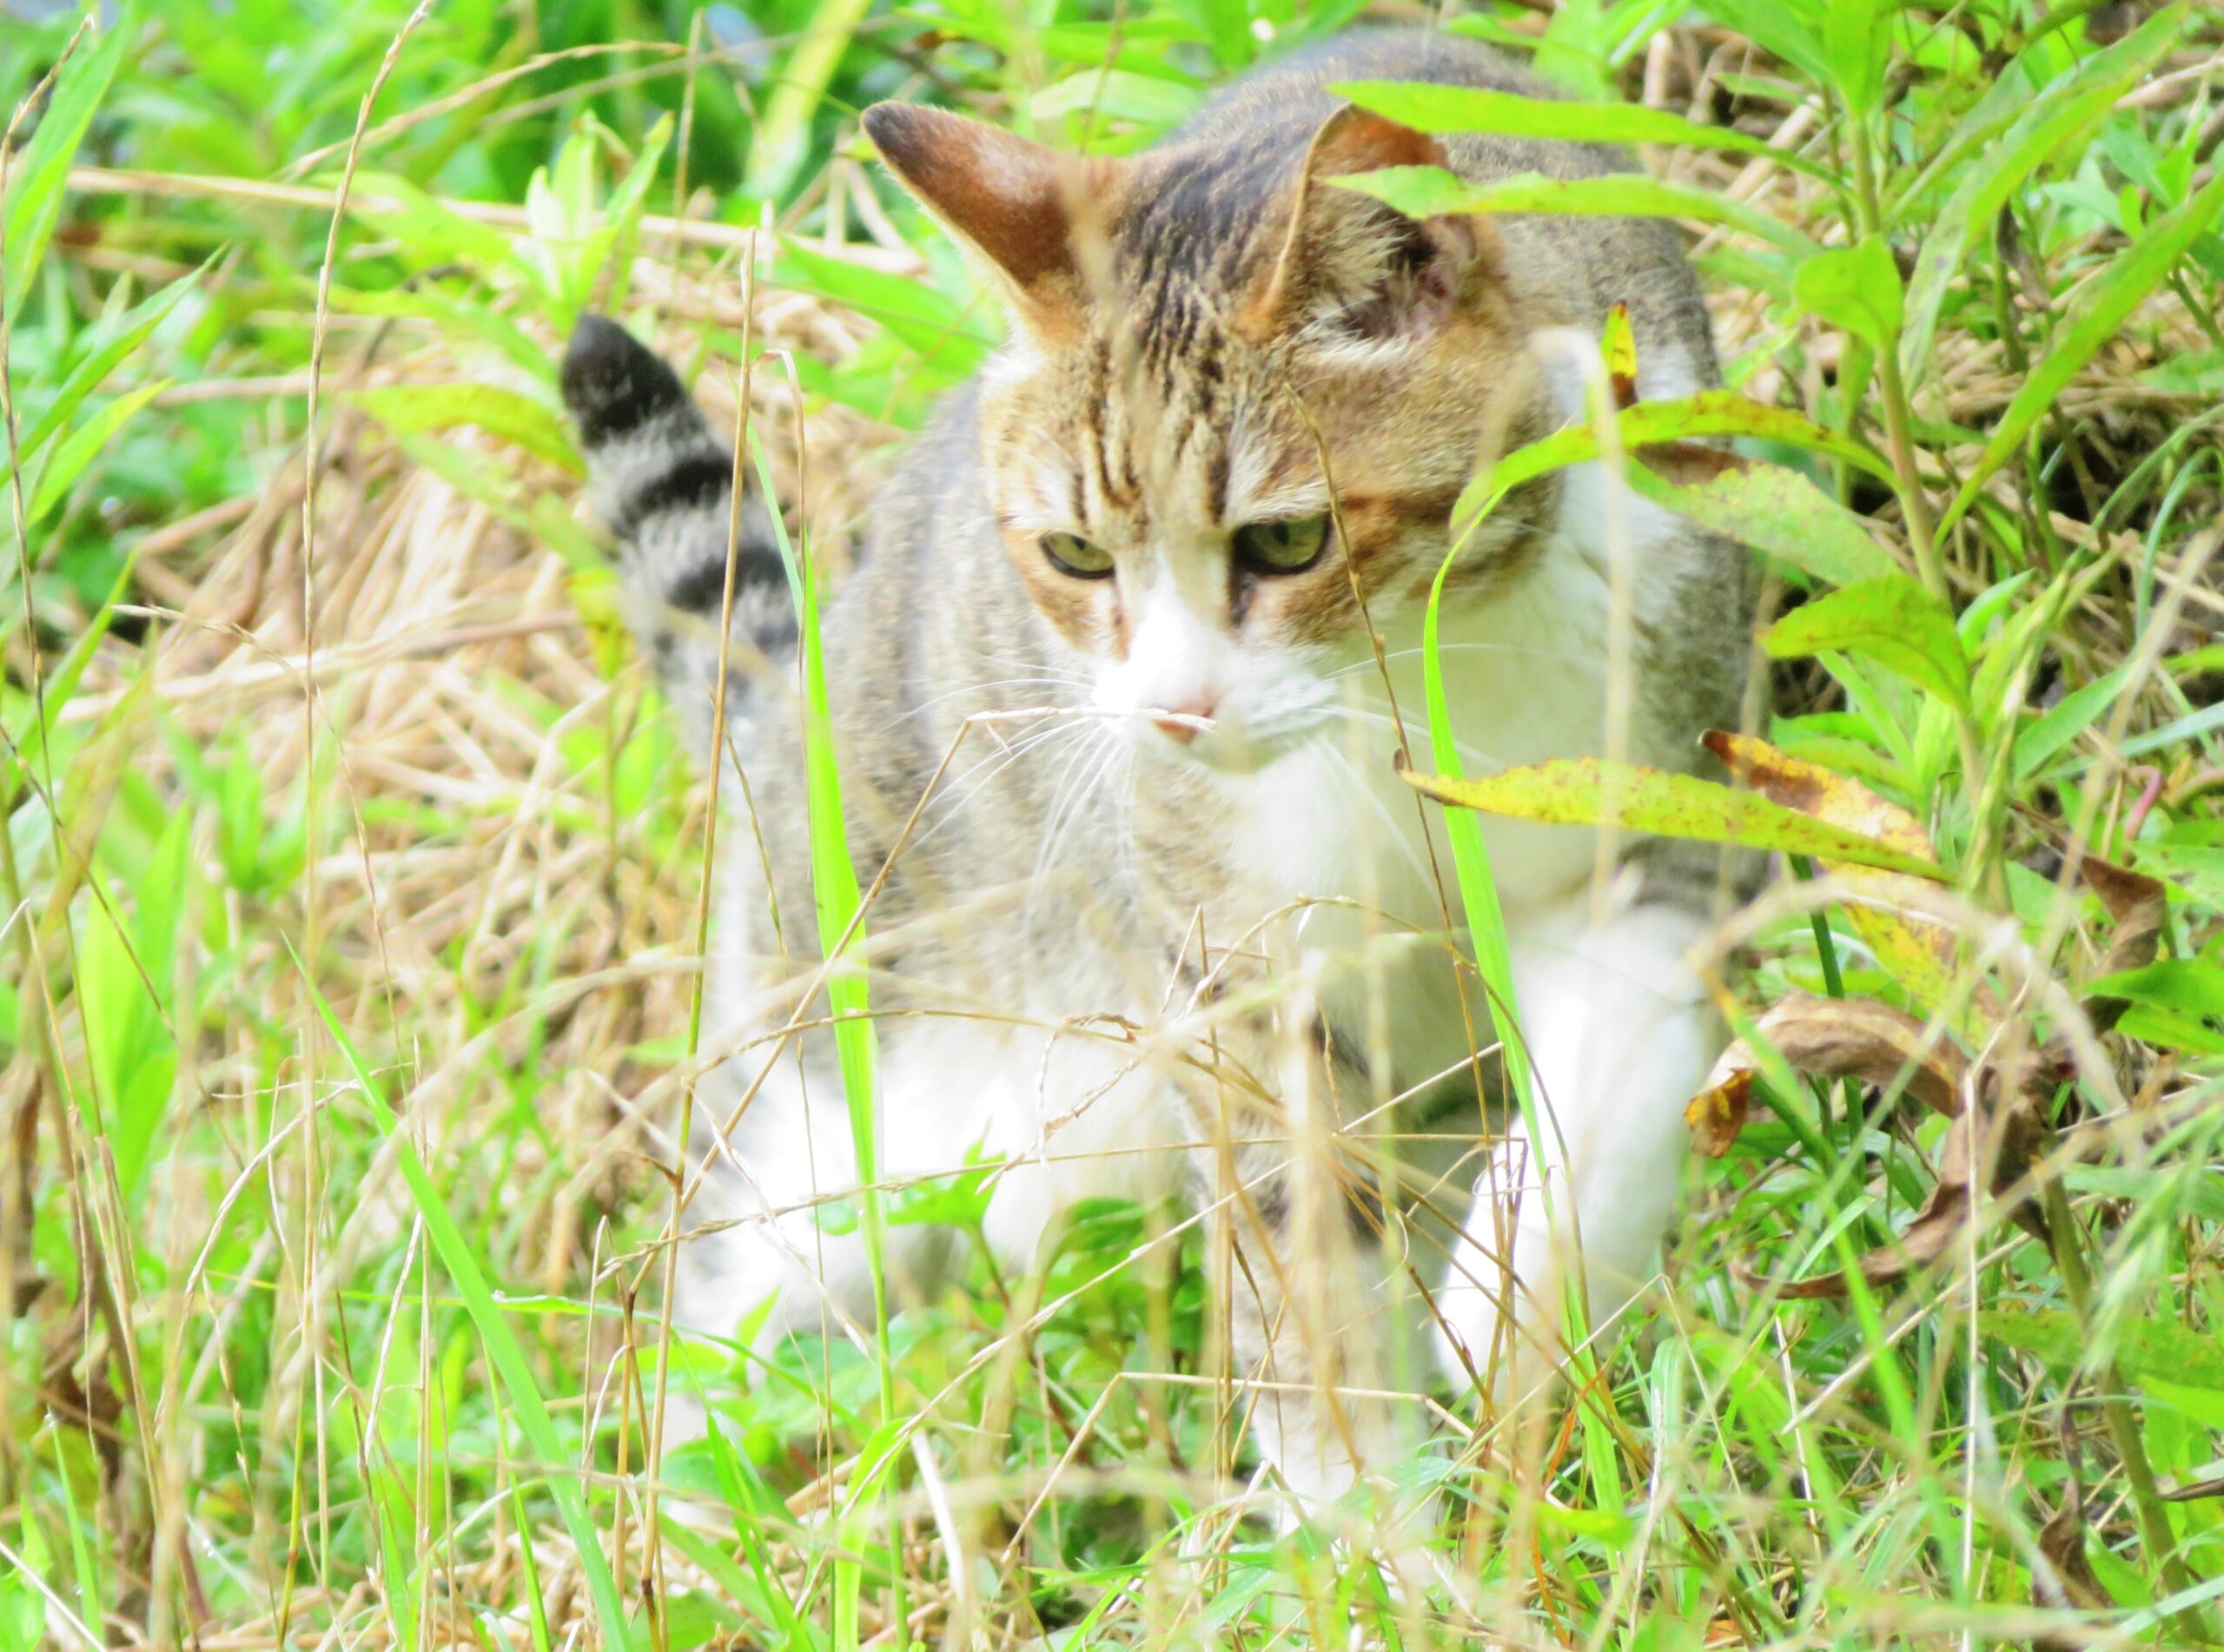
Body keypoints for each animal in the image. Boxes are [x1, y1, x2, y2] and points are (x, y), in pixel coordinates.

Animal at [560, 25, 1752, 1520]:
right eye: (1076, 557)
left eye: (1290, 541)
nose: (1177, 714)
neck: (1422, 694)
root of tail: (807, 686)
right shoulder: (1236, 965)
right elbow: (1302, 1259)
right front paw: (1364, 1526)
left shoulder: (1661, 820)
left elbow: (1616, 1089)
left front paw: (1514, 1299)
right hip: (829, 1114)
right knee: (715, 1338)